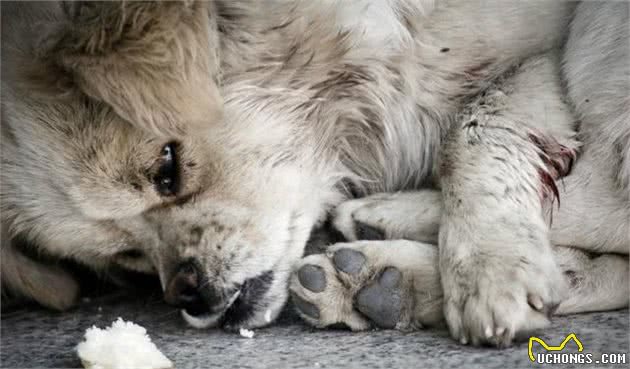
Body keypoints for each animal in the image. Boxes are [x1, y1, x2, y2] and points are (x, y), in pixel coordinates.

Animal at [2, 0, 628, 344]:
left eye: (168, 168)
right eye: (127, 254)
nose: (187, 293)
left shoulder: (547, 51)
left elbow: (472, 131)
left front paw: (491, 265)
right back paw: (381, 280)